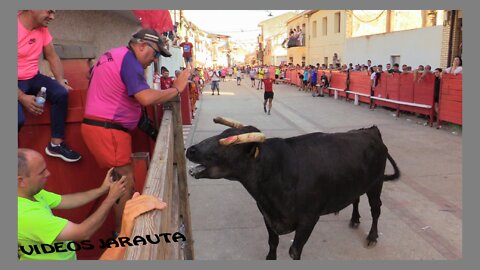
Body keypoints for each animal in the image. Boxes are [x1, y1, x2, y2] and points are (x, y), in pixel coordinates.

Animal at [186, 124, 400, 260]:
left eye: (229, 145)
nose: (191, 150)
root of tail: (370, 131)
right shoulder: (267, 215)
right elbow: (272, 242)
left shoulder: (308, 219)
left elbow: (294, 251)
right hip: (357, 183)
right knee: (356, 199)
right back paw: (355, 220)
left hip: (376, 184)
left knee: (376, 209)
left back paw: (372, 237)